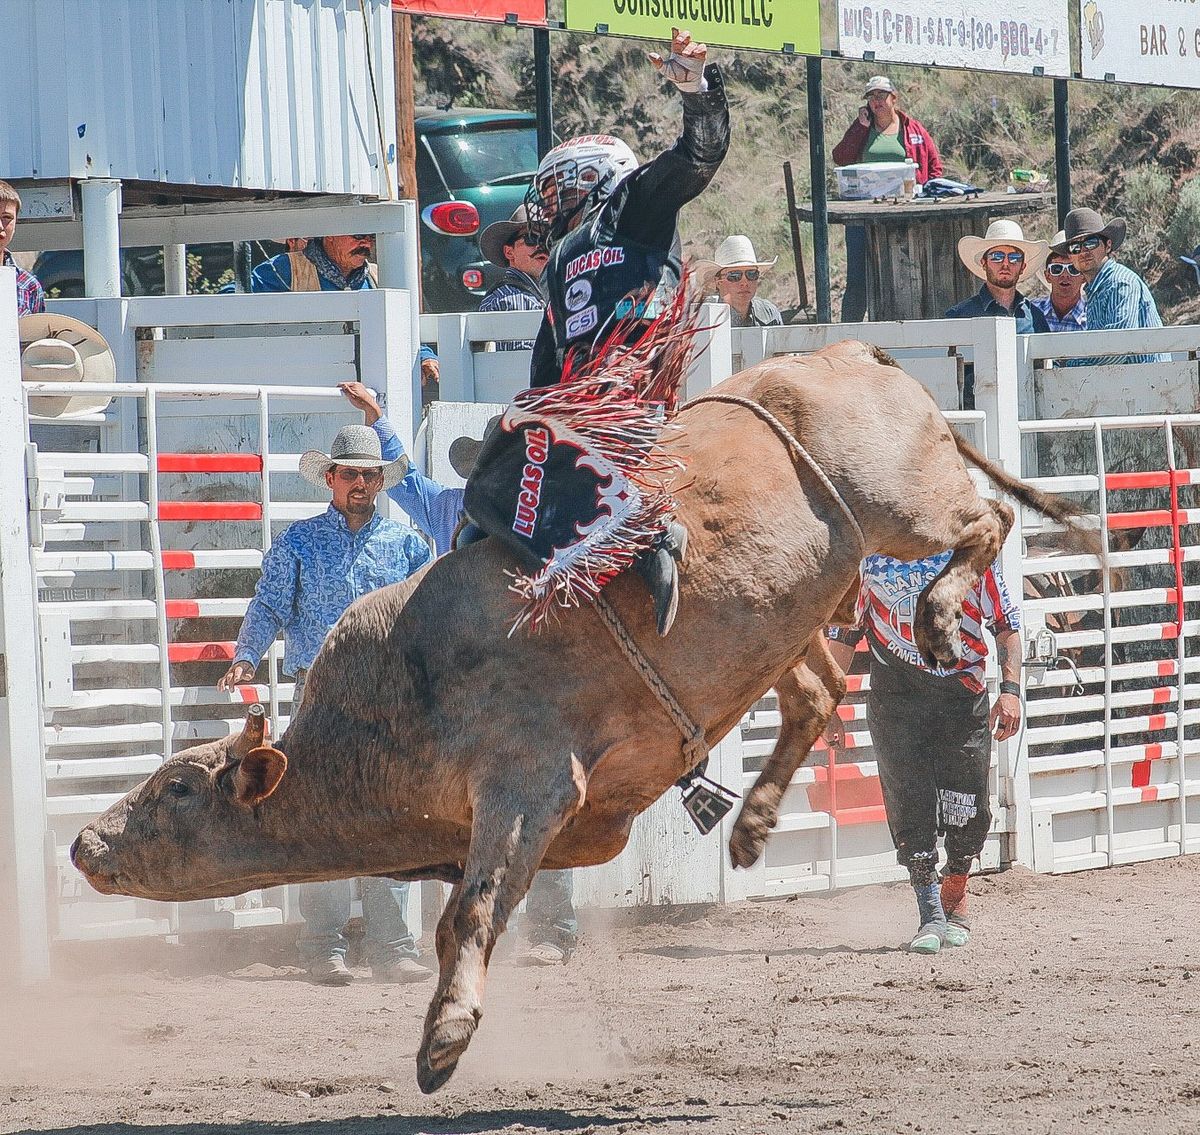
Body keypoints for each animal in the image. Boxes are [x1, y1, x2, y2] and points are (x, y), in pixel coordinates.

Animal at [72, 343, 1089, 1089]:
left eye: (176, 787)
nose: (85, 842)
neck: (394, 704)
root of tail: (849, 352)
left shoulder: (527, 785)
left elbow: (470, 916)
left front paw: (444, 1042)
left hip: (900, 505)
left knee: (986, 521)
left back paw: (940, 612)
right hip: (803, 599)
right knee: (820, 690)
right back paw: (754, 825)